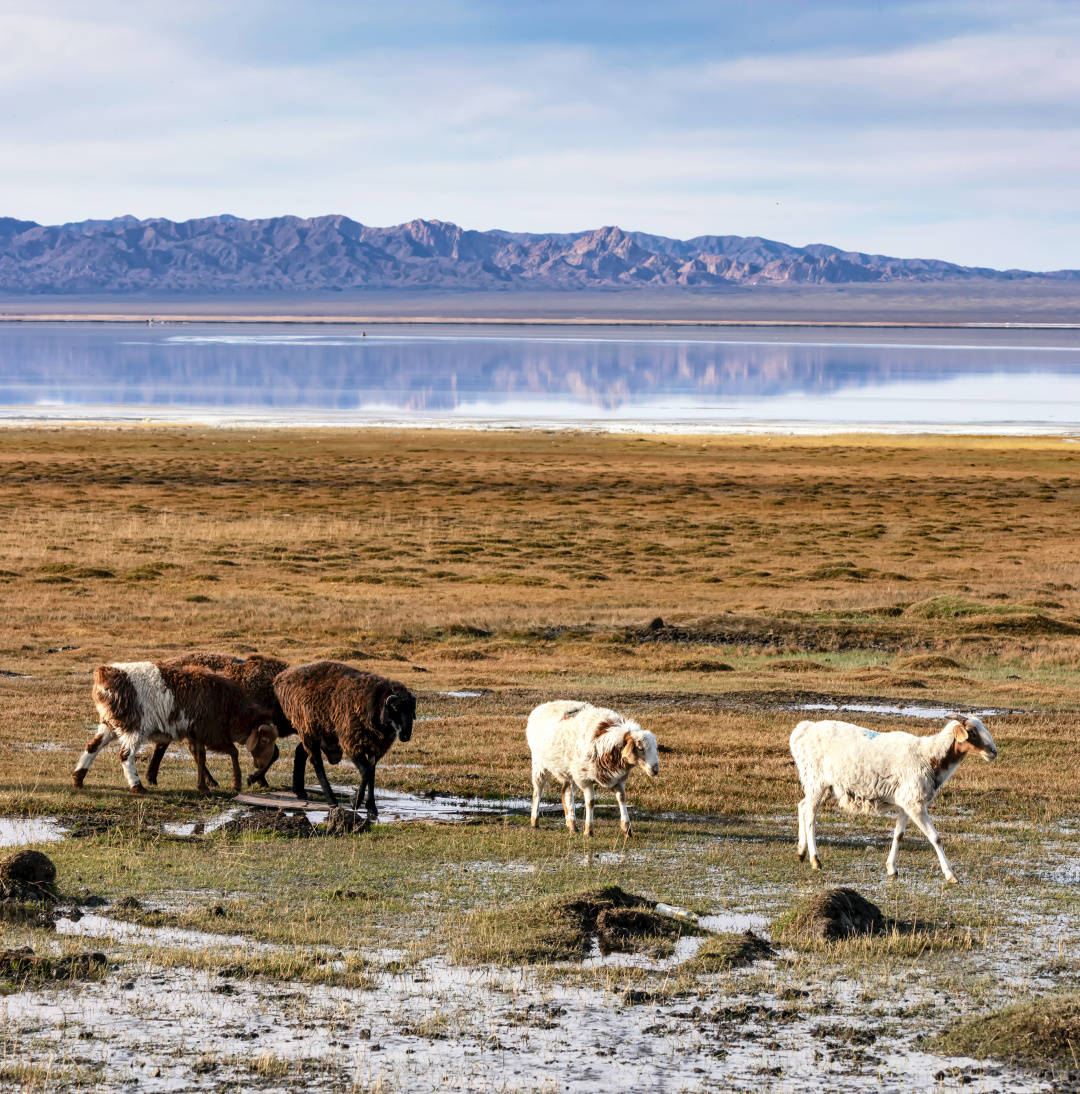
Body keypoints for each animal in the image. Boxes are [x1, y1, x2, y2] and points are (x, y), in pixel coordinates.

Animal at [272, 660, 415, 818]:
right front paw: (356, 801)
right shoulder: (352, 743)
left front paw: (371, 807)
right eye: (395, 708)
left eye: (412, 709)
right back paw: (331, 800)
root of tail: (281, 678)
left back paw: (300, 791)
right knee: (317, 763)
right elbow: (366, 771)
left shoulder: (375, 748)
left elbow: (371, 773)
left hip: (316, 732)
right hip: (306, 728)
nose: (406, 735)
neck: (373, 704)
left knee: (301, 752)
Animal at [525, 700, 660, 835]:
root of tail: (543, 706)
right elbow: (590, 802)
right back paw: (534, 822)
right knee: (538, 792)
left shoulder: (618, 779)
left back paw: (572, 825)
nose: (655, 770)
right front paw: (588, 830)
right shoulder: (584, 779)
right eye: (640, 748)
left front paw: (627, 829)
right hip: (540, 765)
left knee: (566, 793)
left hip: (571, 773)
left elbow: (622, 798)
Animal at [787, 713, 1002, 883]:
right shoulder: (915, 803)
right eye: (972, 732)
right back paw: (815, 860)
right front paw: (951, 875)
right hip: (816, 780)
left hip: (825, 787)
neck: (929, 757)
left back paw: (801, 852)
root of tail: (802, 730)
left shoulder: (905, 804)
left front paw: (891, 868)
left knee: (802, 805)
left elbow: (899, 835)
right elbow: (935, 838)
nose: (993, 752)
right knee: (810, 815)